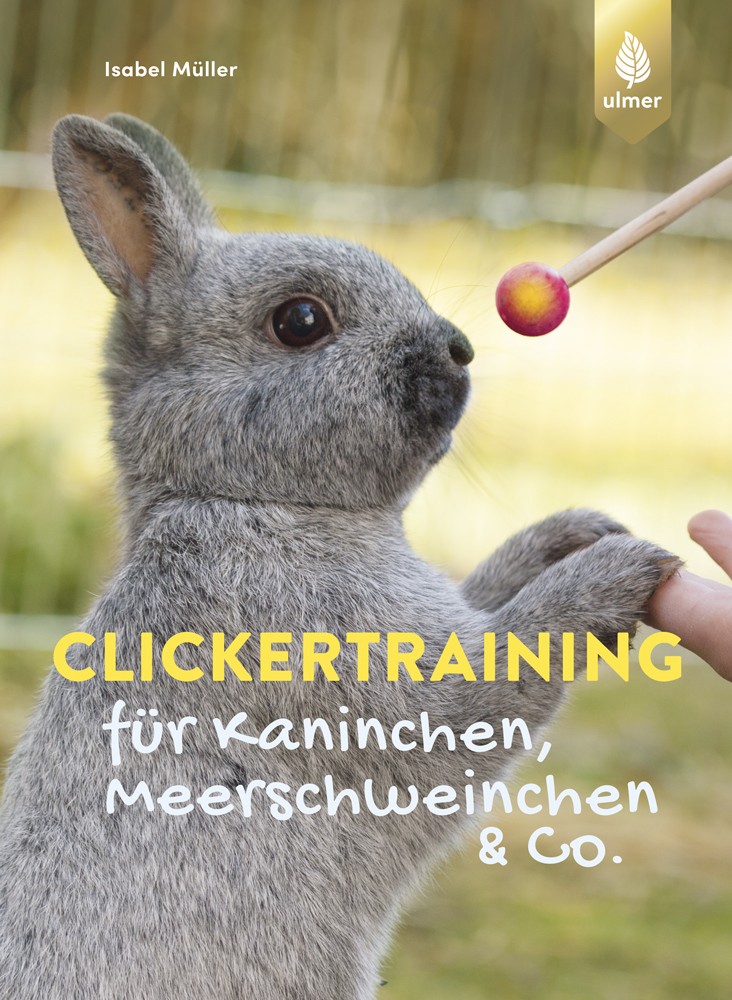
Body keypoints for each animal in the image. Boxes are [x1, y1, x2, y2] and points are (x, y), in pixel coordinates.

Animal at [0, 113, 679, 1000]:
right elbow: (510, 657)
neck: (257, 502)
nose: (457, 348)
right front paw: (613, 571)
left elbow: (489, 592)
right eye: (301, 321)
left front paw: (576, 534)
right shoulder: (397, 693)